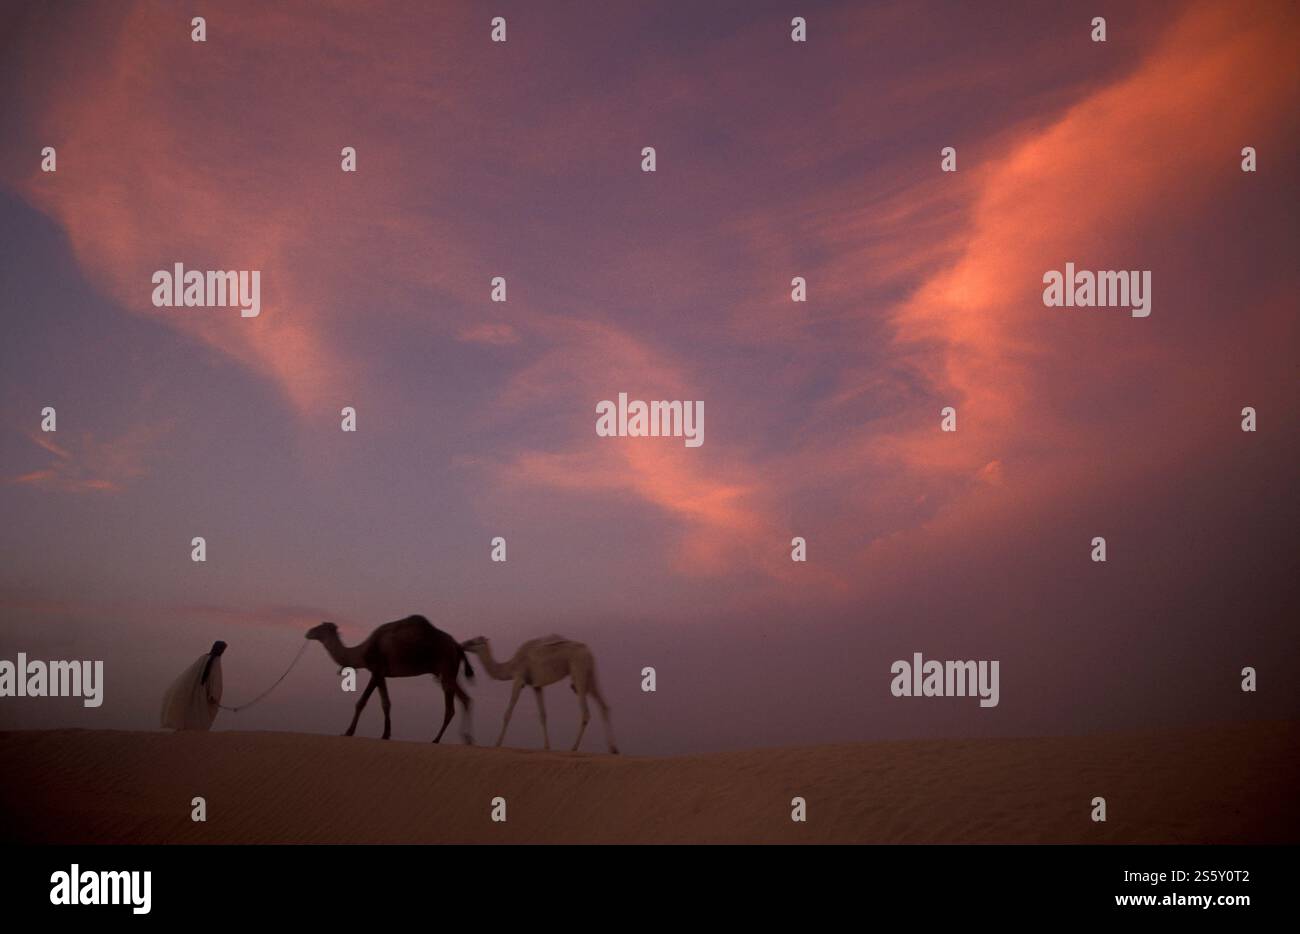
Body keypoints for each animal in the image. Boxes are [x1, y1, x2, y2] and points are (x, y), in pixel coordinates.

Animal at [305, 615, 473, 743]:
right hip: (448, 672)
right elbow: (385, 703)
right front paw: (386, 734)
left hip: (446, 667)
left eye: (320, 628)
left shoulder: (376, 670)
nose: (308, 632)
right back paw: (467, 739)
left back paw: (437, 739)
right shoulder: (382, 674)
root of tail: (457, 646)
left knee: (452, 707)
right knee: (464, 699)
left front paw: (349, 732)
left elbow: (363, 702)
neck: (361, 652)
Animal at [460, 635, 618, 753]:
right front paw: (547, 747)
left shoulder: (519, 679)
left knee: (585, 712)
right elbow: (542, 715)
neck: (511, 666)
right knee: (604, 706)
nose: (462, 644)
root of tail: (588, 651)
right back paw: (613, 749)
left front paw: (497, 743)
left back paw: (573, 747)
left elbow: (508, 713)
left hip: (579, 671)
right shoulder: (536, 686)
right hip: (590, 674)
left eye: (475, 641)